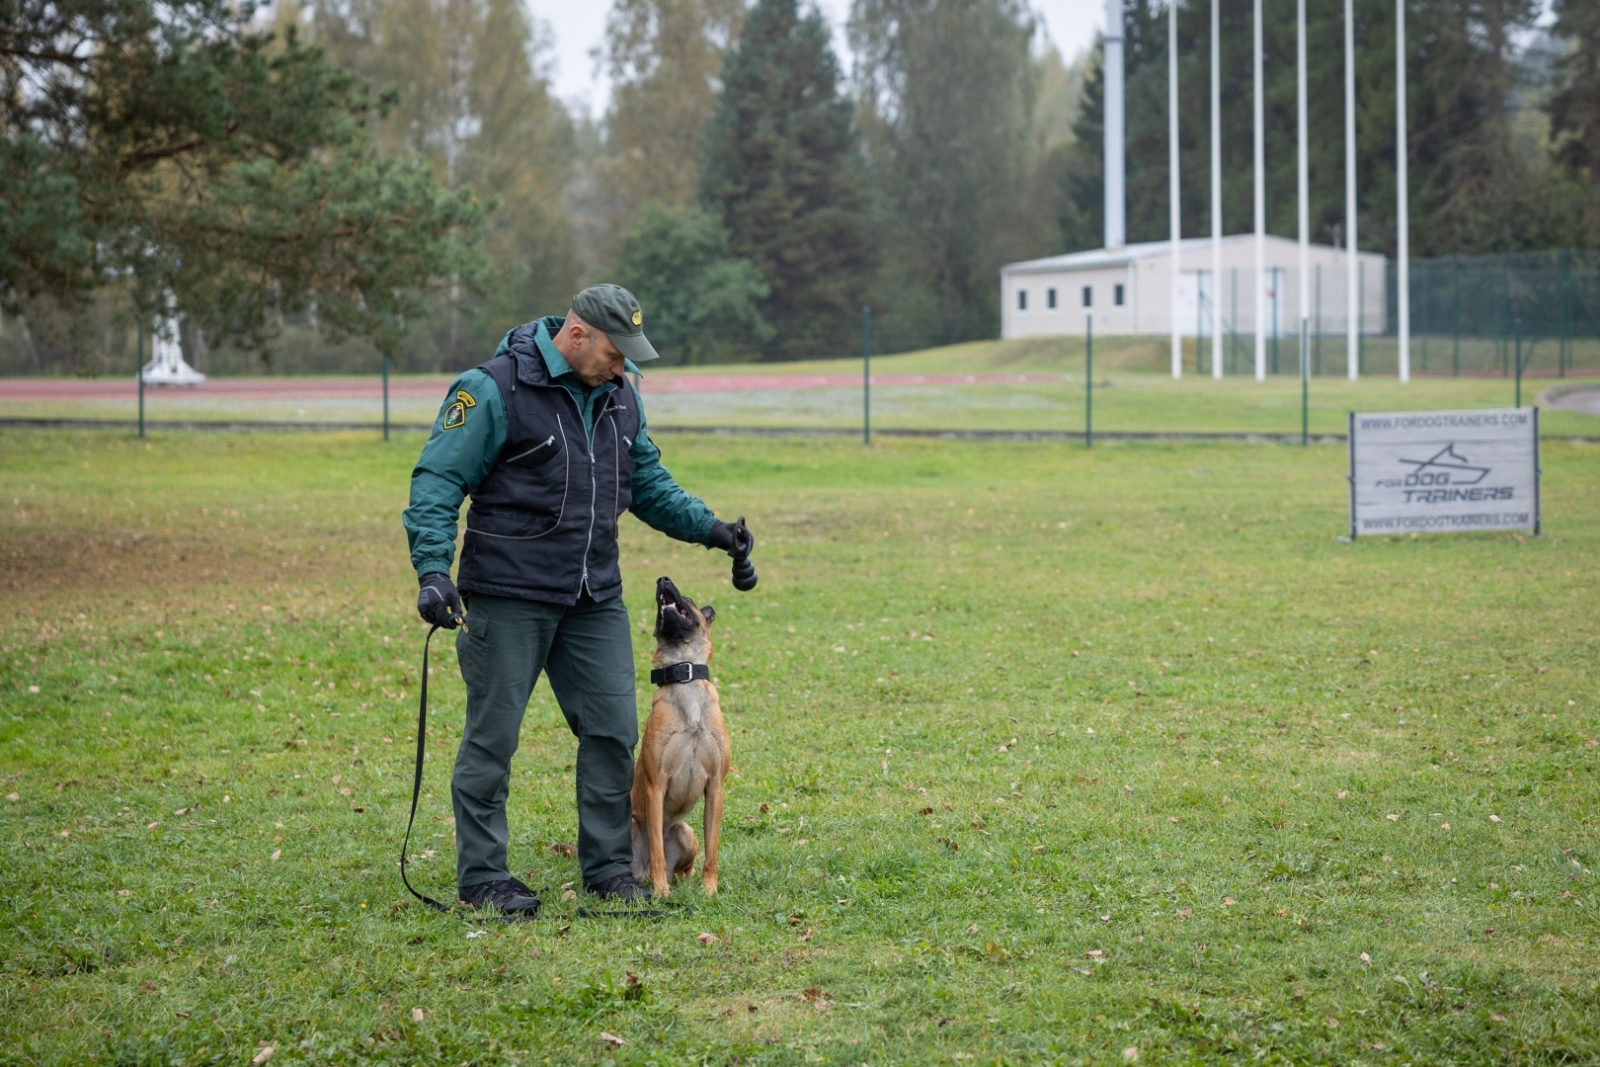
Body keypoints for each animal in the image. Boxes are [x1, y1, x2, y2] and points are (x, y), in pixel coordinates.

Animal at [630, 579, 732, 895]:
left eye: (687, 598)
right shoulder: (656, 785)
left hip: (686, 834)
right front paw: (661, 892)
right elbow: (658, 853)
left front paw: (709, 889)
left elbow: (712, 851)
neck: (684, 676)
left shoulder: (715, 787)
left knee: (685, 868)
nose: (662, 579)